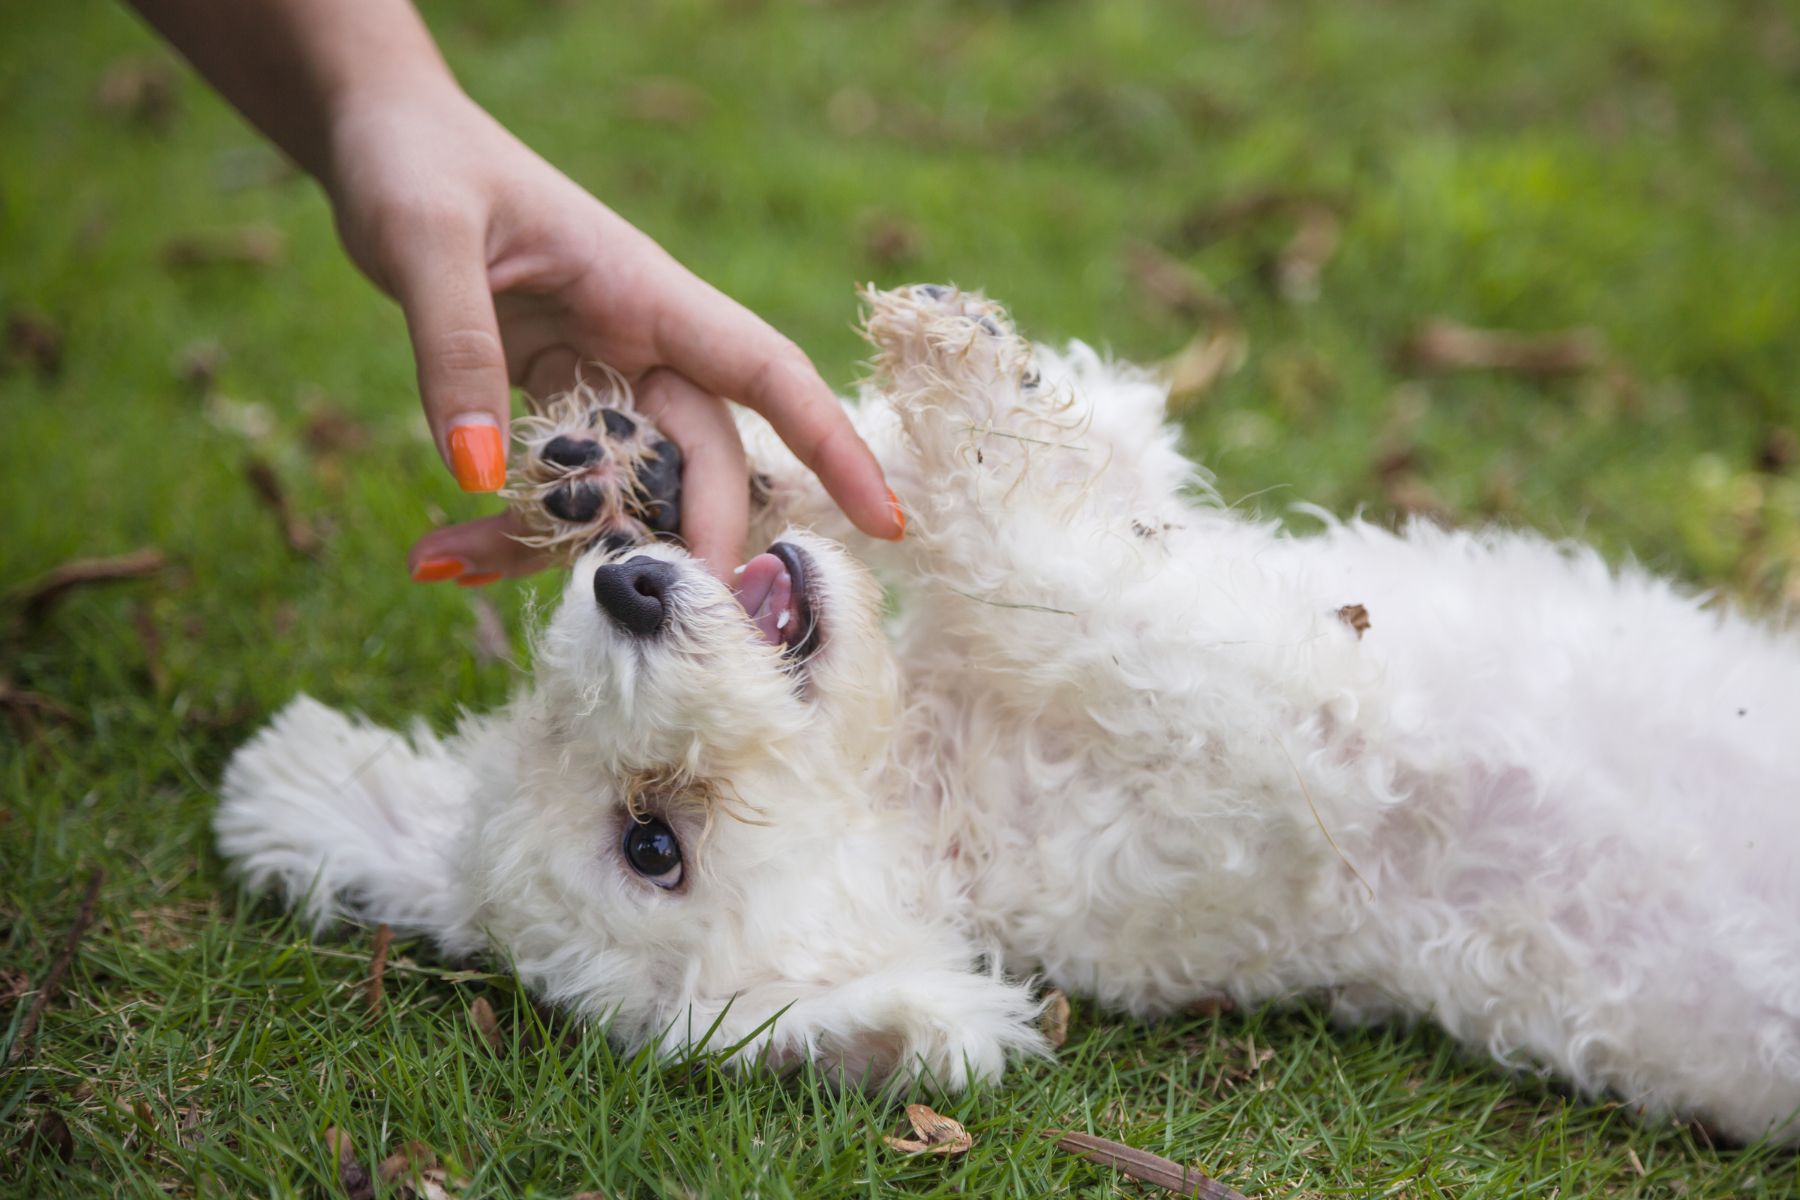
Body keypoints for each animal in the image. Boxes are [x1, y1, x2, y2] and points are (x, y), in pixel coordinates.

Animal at [221, 282, 1800, 1144]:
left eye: (553, 718)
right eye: (651, 843)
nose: (630, 593)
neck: (937, 775)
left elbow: (1006, 469)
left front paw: (647, 467)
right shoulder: (1282, 726)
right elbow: (1043, 563)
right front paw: (957, 400)